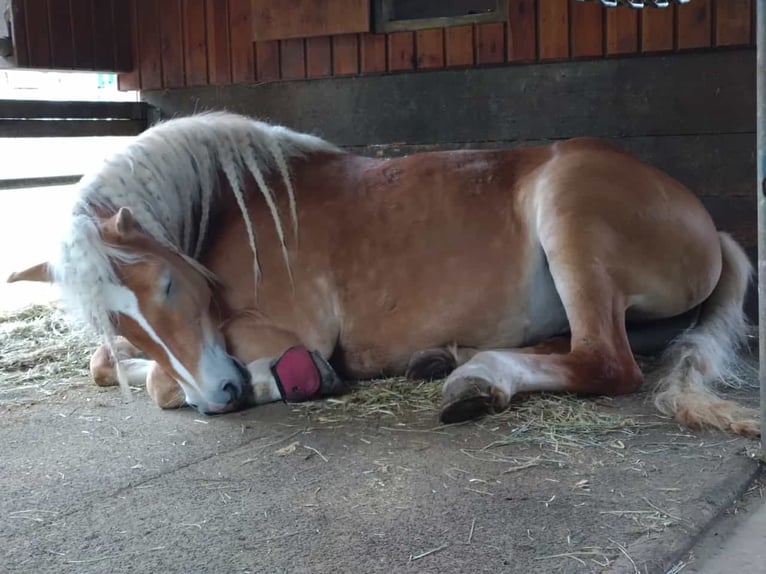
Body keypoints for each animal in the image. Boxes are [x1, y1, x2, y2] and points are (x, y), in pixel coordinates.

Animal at [6, 111, 760, 436]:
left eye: (166, 285)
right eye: (124, 325)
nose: (222, 395)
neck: (240, 204)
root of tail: (705, 223)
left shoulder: (280, 329)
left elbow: (165, 387)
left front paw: (288, 378)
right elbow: (117, 369)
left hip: (569, 215)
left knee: (607, 362)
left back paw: (475, 378)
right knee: (583, 345)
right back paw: (450, 362)